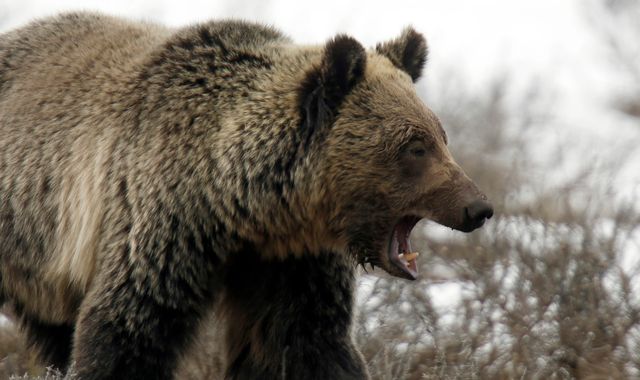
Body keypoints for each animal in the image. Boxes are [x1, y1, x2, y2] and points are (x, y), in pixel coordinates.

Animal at [0, 11, 496, 380]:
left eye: (441, 137)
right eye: (415, 147)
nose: (478, 207)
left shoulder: (290, 261)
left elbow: (304, 341)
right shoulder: (160, 225)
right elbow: (127, 328)